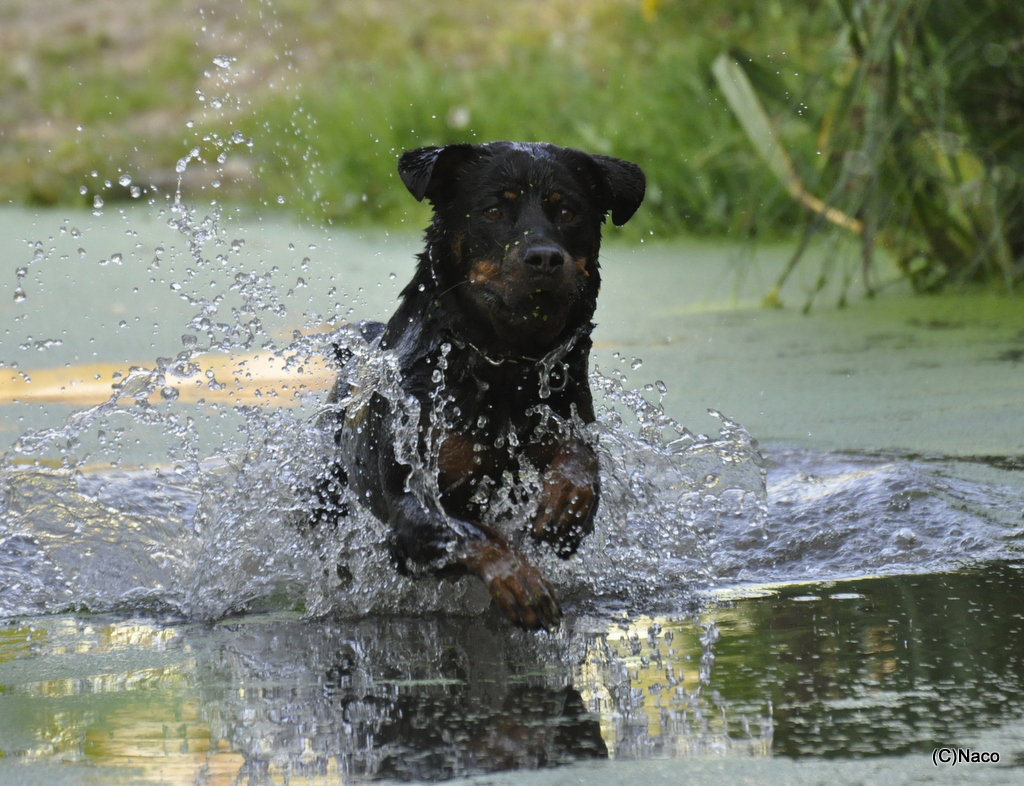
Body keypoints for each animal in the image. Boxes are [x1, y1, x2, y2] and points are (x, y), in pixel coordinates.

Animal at [315, 143, 643, 630]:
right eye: (492, 210)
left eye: (567, 211)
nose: (544, 257)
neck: (504, 365)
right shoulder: (409, 513)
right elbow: (470, 534)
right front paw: (518, 580)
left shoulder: (566, 413)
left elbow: (579, 459)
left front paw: (567, 504)